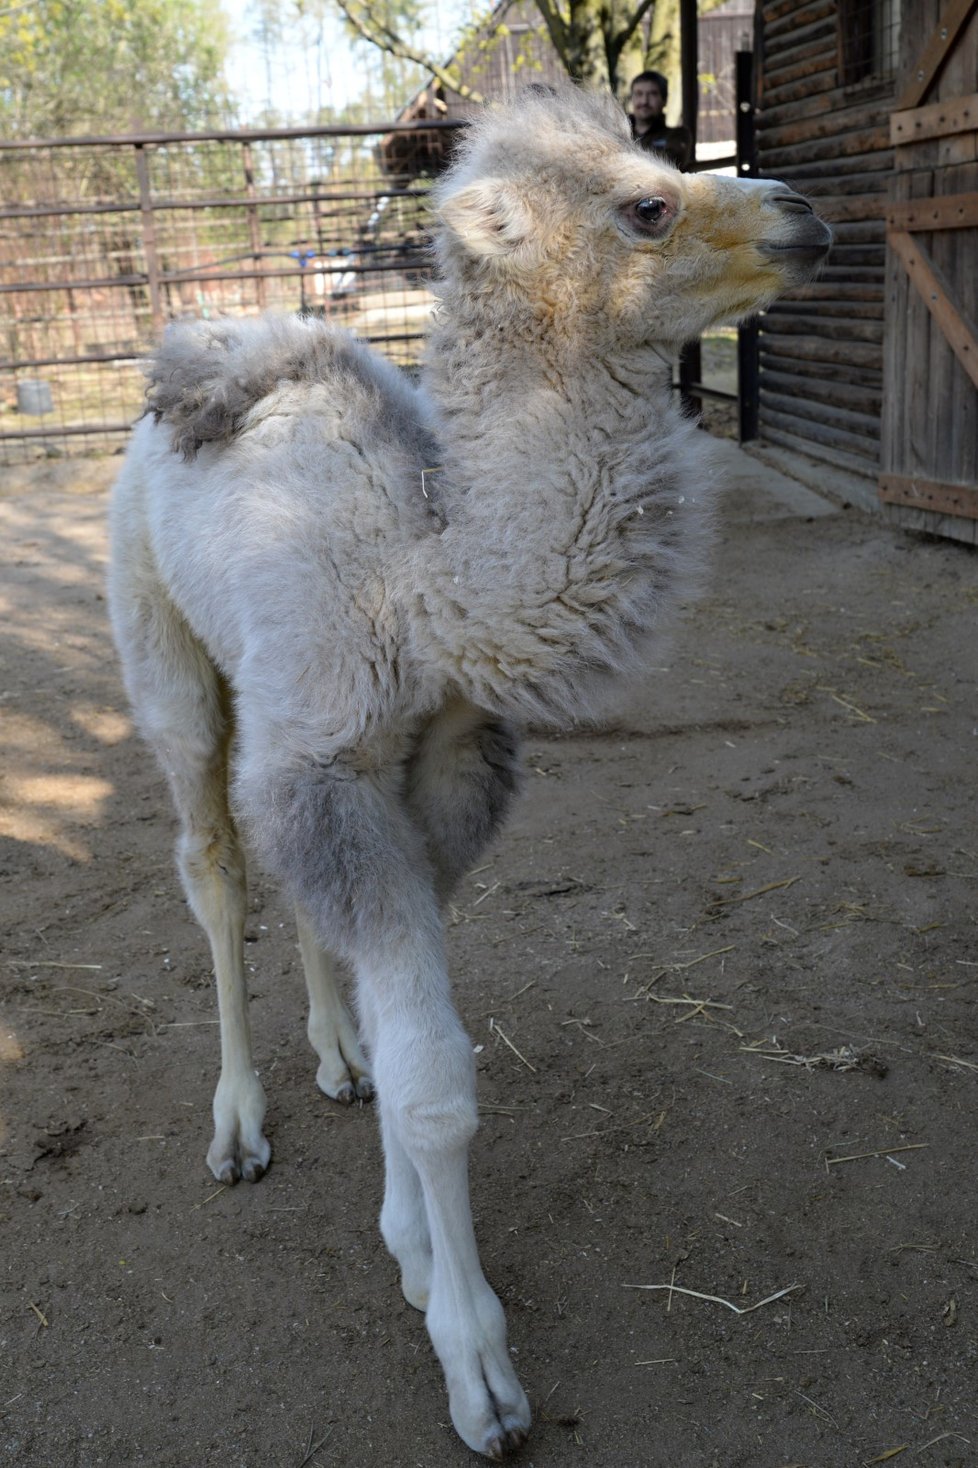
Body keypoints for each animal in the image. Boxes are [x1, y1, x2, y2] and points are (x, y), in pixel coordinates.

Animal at [106, 88, 822, 1456]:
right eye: (645, 204)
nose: (807, 214)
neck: (425, 581)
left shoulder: (433, 771)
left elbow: (414, 1043)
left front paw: (408, 1239)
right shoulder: (332, 769)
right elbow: (437, 1083)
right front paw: (479, 1371)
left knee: (293, 906)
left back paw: (334, 1060)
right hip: (162, 649)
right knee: (213, 868)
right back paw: (239, 1126)